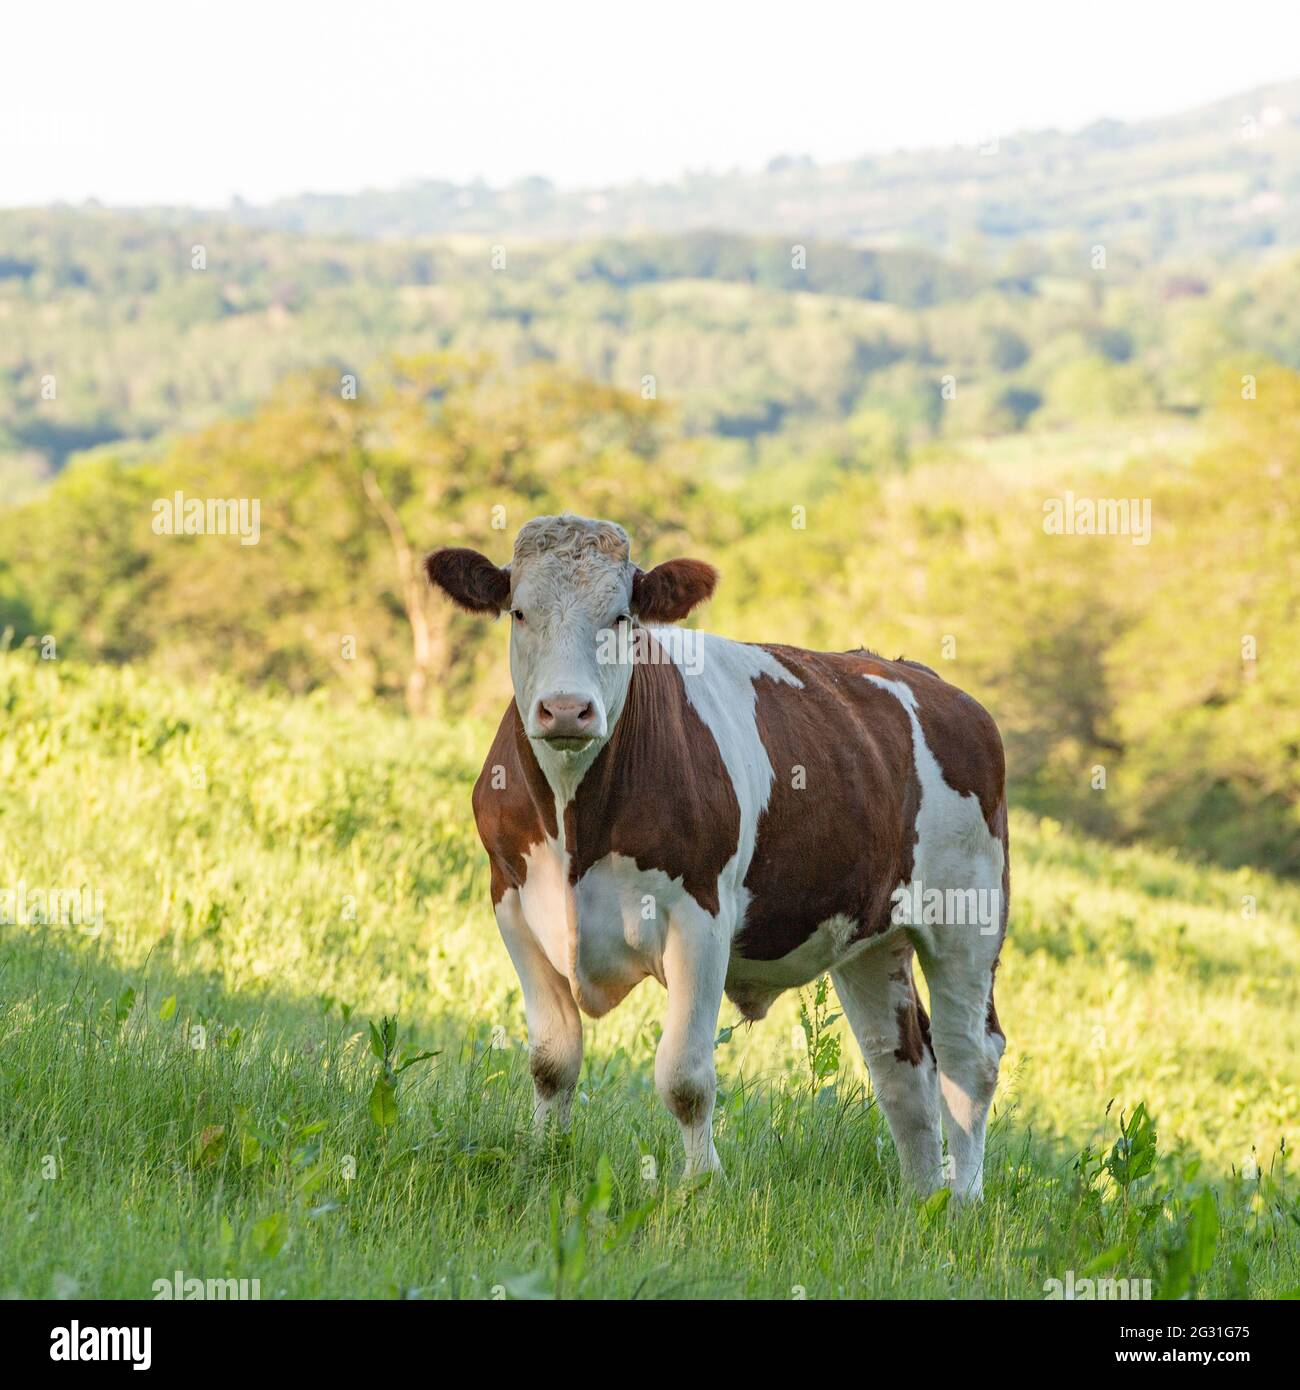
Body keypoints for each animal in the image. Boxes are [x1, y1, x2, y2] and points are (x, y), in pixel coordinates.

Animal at [428, 517, 1006, 1200]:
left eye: (621, 617)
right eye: (519, 612)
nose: (566, 709)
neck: (575, 825)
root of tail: (930, 681)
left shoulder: (699, 917)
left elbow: (684, 1076)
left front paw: (701, 1186)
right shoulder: (513, 905)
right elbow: (552, 1062)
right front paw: (545, 1159)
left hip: (969, 915)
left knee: (969, 1058)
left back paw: (962, 1201)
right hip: (871, 937)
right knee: (900, 1063)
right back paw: (921, 1200)